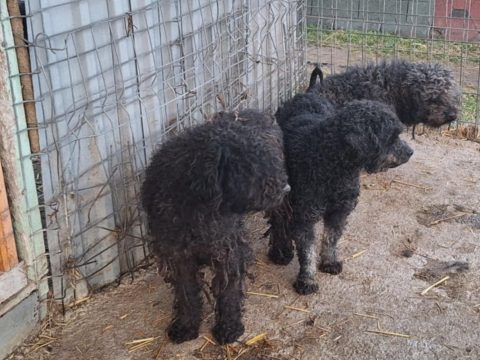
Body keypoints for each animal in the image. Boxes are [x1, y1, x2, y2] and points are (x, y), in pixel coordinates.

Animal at [141, 109, 290, 344]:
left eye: (267, 159)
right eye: (249, 166)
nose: (286, 187)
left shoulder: (227, 250)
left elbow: (228, 292)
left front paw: (229, 327)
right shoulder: (177, 255)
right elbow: (186, 293)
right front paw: (185, 326)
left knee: (280, 220)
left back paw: (281, 251)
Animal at [268, 96, 414, 296]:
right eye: (391, 137)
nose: (410, 152)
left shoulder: (340, 210)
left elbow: (331, 238)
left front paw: (329, 262)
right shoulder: (305, 215)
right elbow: (307, 252)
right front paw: (307, 280)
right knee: (278, 222)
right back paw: (280, 251)